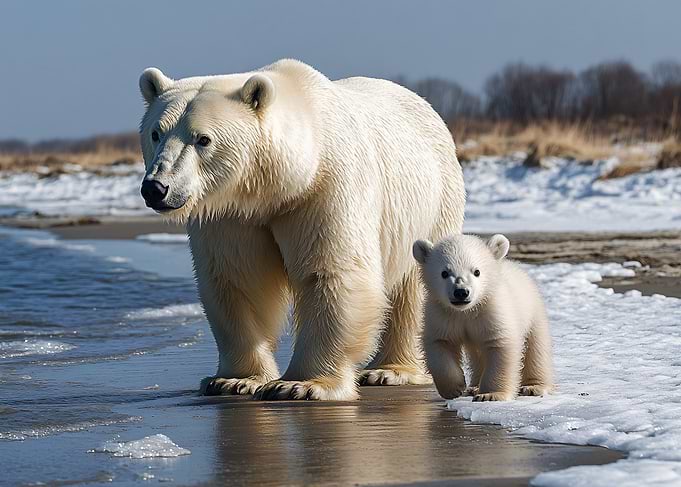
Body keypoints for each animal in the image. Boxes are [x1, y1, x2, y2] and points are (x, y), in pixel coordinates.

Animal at [137, 59, 465, 401]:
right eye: (156, 133)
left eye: (203, 138)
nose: (156, 188)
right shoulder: (232, 213)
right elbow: (240, 280)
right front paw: (234, 380)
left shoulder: (323, 189)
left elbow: (331, 272)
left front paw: (301, 385)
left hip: (433, 202)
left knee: (415, 284)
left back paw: (389, 371)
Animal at [413, 234, 553, 401]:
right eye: (444, 273)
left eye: (477, 271)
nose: (461, 292)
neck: (467, 311)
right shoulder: (442, 314)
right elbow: (440, 343)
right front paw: (454, 388)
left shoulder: (492, 311)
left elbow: (500, 345)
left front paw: (490, 395)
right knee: (477, 355)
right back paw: (473, 387)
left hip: (533, 311)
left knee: (536, 348)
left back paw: (533, 387)